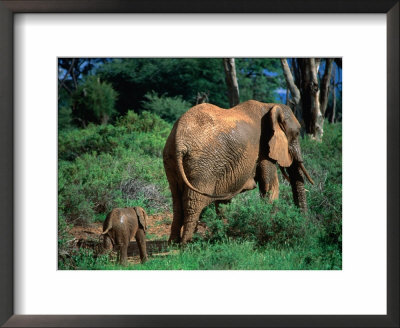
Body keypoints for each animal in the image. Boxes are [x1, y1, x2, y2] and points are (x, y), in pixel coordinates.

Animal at [162, 100, 312, 243]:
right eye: (297, 133)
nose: (304, 228)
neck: (269, 106)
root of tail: (179, 141)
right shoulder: (264, 148)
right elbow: (270, 186)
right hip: (202, 166)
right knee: (194, 203)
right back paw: (186, 244)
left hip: (171, 160)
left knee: (177, 201)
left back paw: (174, 243)